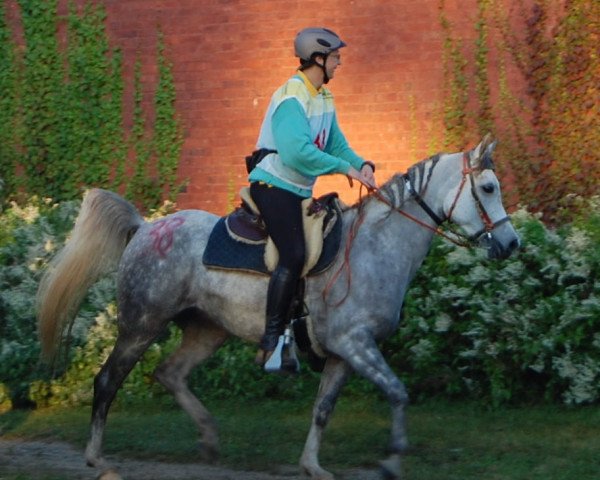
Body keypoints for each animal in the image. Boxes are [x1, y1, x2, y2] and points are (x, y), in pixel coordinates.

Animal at [36, 134, 520, 480]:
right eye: (488, 187)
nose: (511, 243)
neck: (374, 247)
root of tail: (145, 227)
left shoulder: (344, 355)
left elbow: (323, 409)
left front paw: (313, 466)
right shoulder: (357, 344)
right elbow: (398, 393)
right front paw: (390, 462)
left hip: (207, 330)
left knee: (170, 373)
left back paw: (209, 439)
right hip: (140, 327)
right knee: (107, 382)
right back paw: (98, 460)